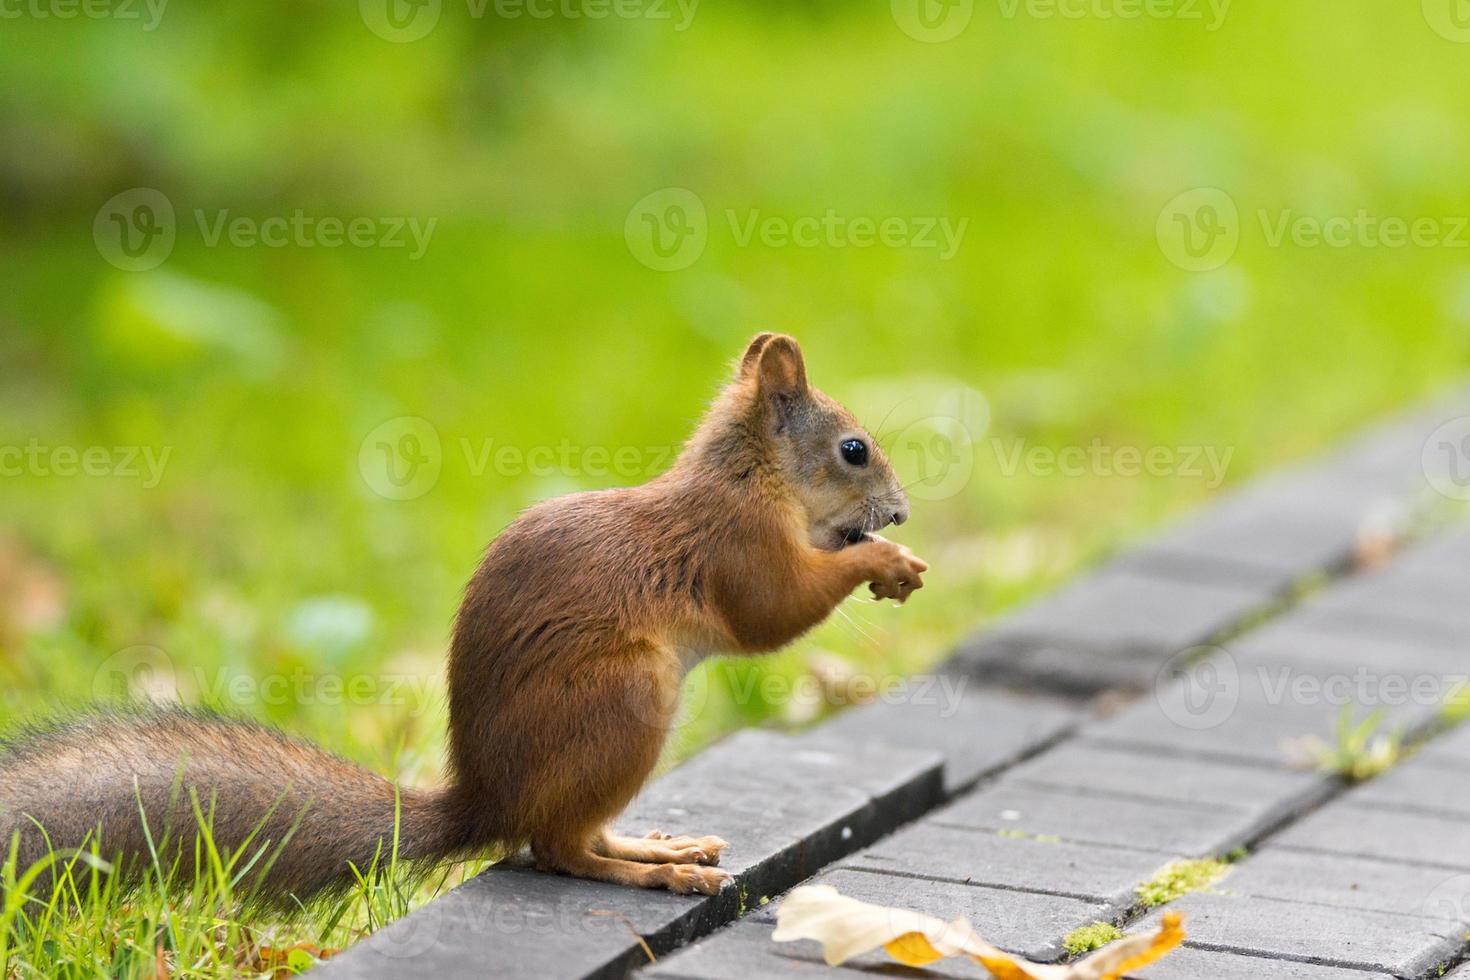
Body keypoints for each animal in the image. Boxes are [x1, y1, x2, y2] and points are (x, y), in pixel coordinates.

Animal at [0, 333, 929, 899]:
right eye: (854, 450)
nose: (902, 512)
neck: (750, 477)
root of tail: (486, 802)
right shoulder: (736, 547)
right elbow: (772, 614)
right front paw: (884, 563)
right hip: (625, 700)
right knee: (554, 849)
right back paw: (655, 875)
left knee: (568, 838)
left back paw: (656, 849)